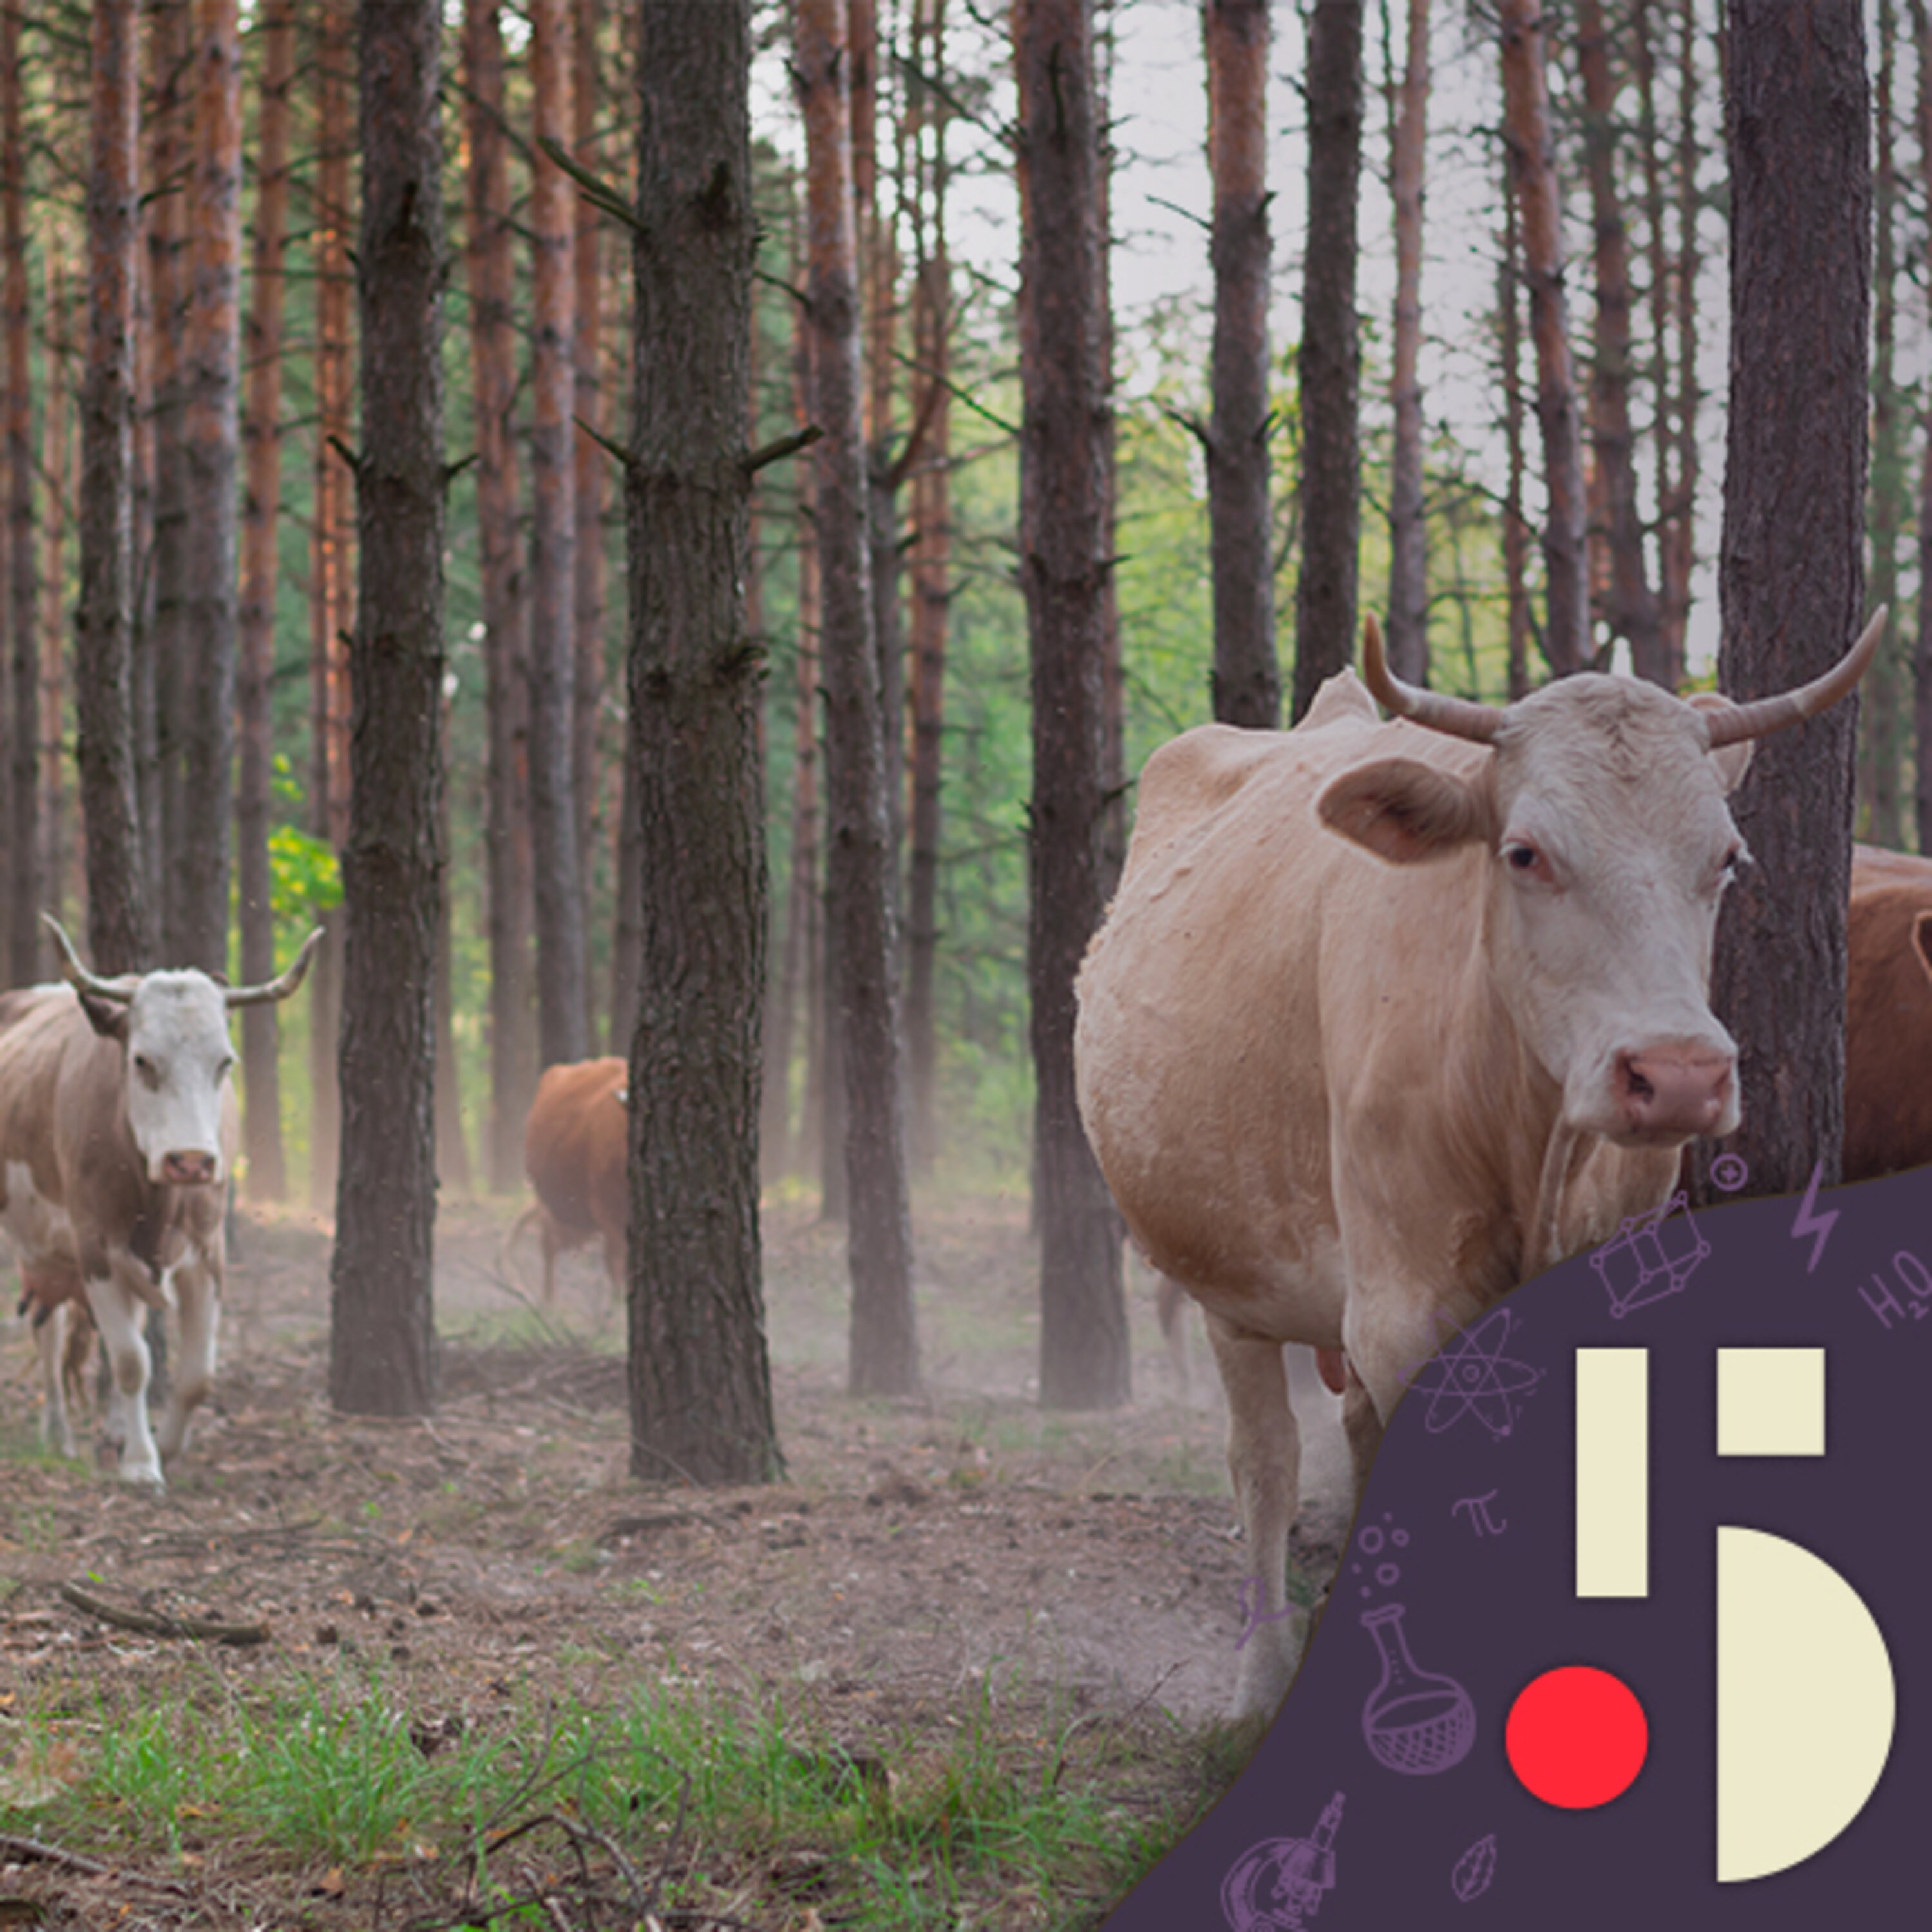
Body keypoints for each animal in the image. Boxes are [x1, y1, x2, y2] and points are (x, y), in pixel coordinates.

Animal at [0, 917, 321, 1489]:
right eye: (142, 1061)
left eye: (224, 1062)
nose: (190, 1161)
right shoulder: (96, 1250)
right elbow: (133, 1362)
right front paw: (142, 1464)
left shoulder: (208, 1254)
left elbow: (196, 1375)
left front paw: (166, 1446)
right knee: (51, 1337)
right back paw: (58, 1434)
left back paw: (109, 1430)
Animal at [1075, 612, 1881, 1720]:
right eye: (1526, 853)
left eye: (1726, 857)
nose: (1676, 1075)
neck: (1526, 1137)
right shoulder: (1405, 1304)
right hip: (1228, 1280)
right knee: (1266, 1464)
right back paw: (1262, 1686)